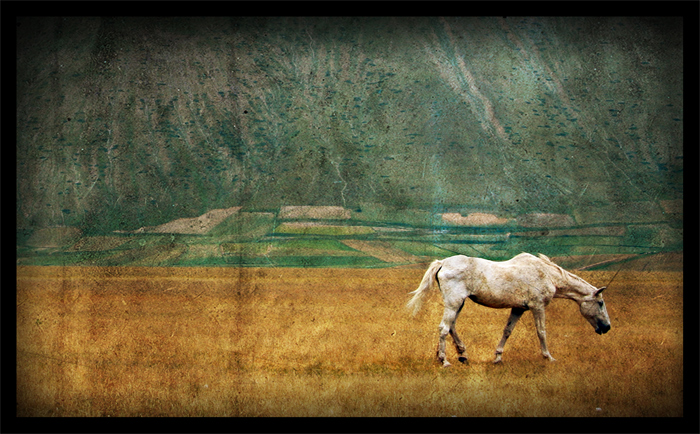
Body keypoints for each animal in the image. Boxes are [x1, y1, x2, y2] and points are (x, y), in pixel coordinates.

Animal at [407, 253, 611, 366]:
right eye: (600, 303)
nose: (607, 327)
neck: (547, 274)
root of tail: (442, 263)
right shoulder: (538, 306)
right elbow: (541, 332)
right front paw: (548, 357)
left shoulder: (518, 308)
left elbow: (507, 331)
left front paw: (498, 358)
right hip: (454, 302)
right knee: (444, 328)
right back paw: (445, 360)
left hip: (458, 303)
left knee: (452, 327)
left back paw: (461, 354)